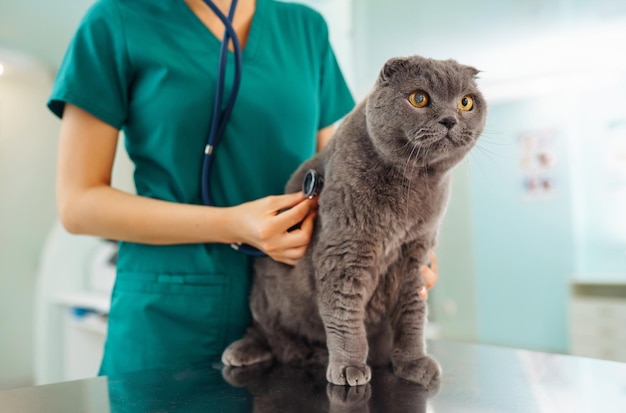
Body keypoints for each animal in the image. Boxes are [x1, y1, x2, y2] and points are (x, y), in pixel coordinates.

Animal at [222, 53, 486, 388]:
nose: (450, 119)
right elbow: (345, 313)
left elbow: (412, 314)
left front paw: (414, 363)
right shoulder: (346, 248)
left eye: (466, 102)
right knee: (265, 330)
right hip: (263, 291)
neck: (411, 184)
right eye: (419, 98)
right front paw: (349, 366)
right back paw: (245, 350)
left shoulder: (416, 253)